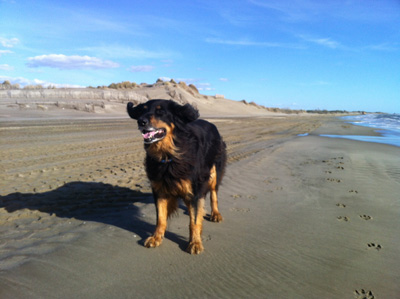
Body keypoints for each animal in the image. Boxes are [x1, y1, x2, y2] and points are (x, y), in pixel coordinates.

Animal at [126, 99, 227, 254]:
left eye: (160, 112)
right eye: (143, 110)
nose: (141, 121)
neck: (169, 154)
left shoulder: (194, 189)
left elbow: (194, 220)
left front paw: (195, 242)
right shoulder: (160, 188)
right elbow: (161, 218)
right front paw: (156, 237)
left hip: (214, 171)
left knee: (213, 193)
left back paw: (215, 213)